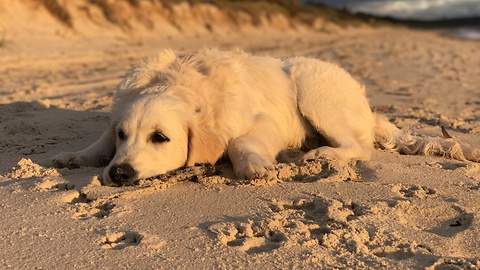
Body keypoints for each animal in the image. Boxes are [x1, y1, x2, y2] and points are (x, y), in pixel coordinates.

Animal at [52, 48, 480, 186]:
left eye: (160, 137)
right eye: (124, 135)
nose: (120, 174)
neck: (185, 84)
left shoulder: (264, 123)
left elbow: (240, 142)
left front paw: (254, 165)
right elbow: (99, 142)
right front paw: (75, 155)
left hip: (312, 89)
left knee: (360, 146)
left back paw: (323, 155)